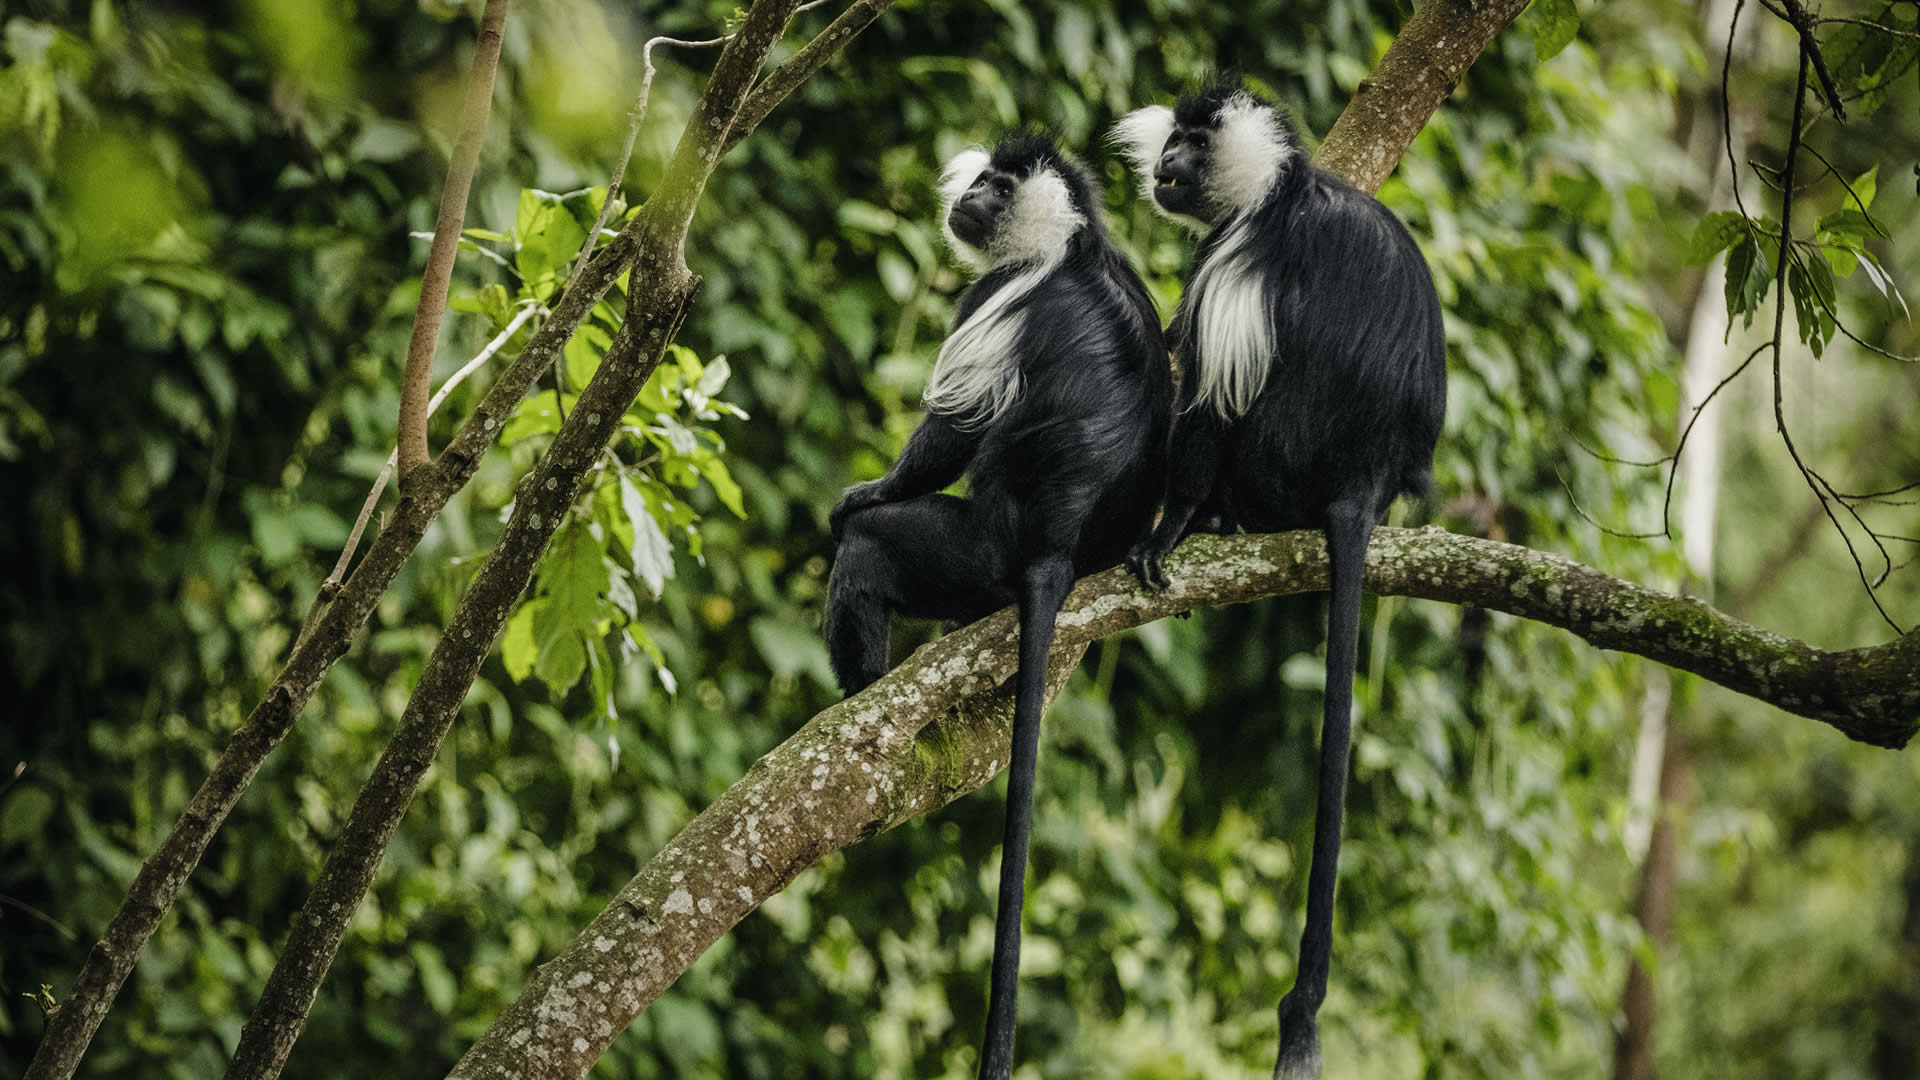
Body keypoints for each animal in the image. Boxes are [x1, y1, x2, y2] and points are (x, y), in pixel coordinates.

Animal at [825, 134, 1167, 1076]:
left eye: (998, 187)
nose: (970, 195)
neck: (1070, 243)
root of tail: (1054, 545)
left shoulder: (996, 299)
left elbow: (951, 432)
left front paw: (866, 490)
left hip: (972, 550)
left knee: (872, 551)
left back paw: (860, 688)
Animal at [1113, 85, 1443, 1076]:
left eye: (1191, 143)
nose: (1164, 164)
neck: (1277, 190)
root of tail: (1362, 477)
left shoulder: (1237, 261)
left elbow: (1210, 399)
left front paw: (1173, 522)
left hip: (1277, 459)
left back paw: (1211, 520)